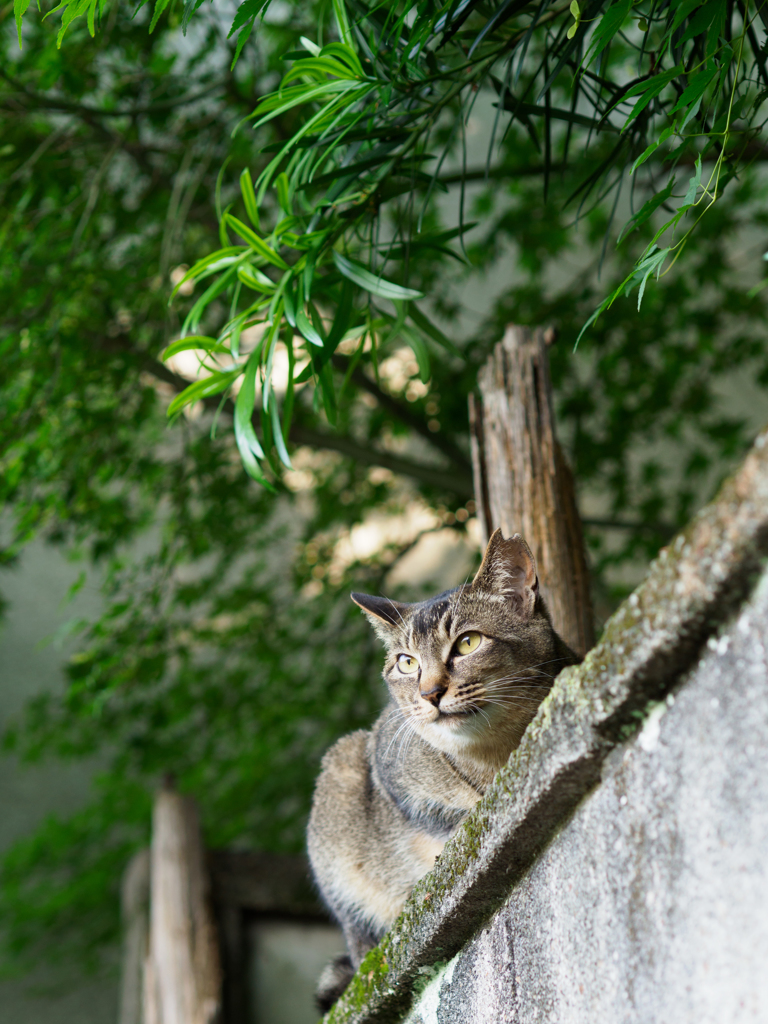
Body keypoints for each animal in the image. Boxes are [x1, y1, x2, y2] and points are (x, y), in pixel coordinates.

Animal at [307, 536, 577, 1007]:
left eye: (468, 643)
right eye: (406, 662)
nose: (430, 692)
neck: (495, 751)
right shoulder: (385, 760)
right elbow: (442, 813)